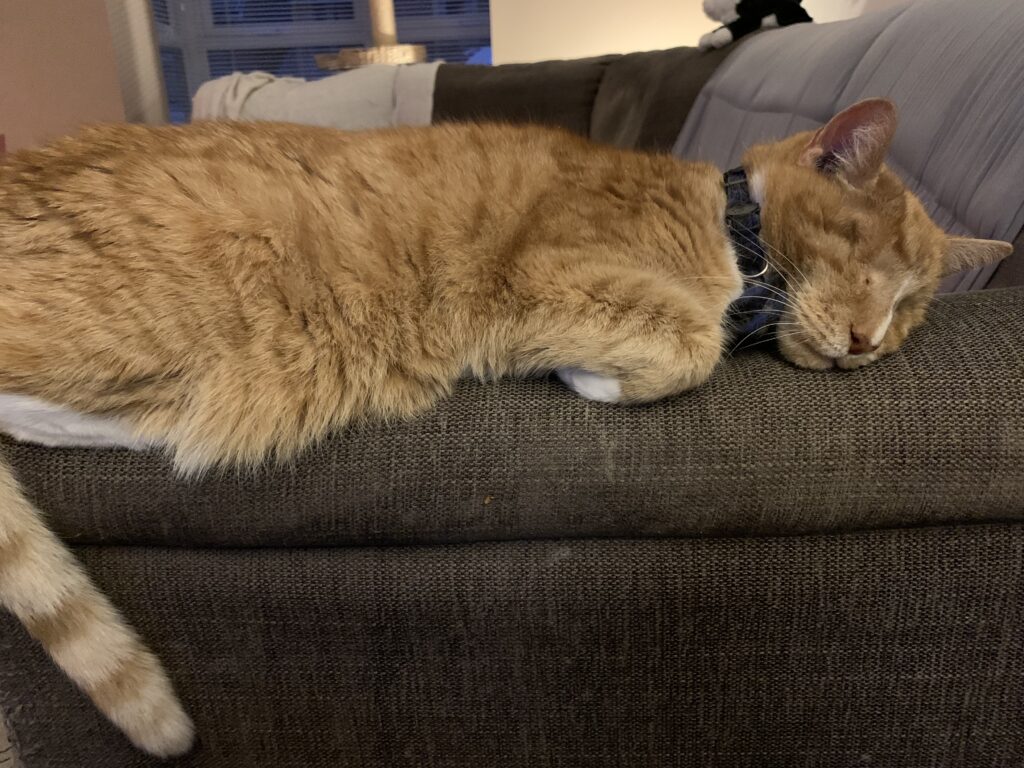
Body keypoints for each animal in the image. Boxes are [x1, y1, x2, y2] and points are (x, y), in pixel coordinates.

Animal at [0, 97, 1007, 757]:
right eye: (862, 255)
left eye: (913, 307)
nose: (867, 342)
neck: (732, 228)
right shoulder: (550, 276)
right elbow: (691, 341)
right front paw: (593, 373)